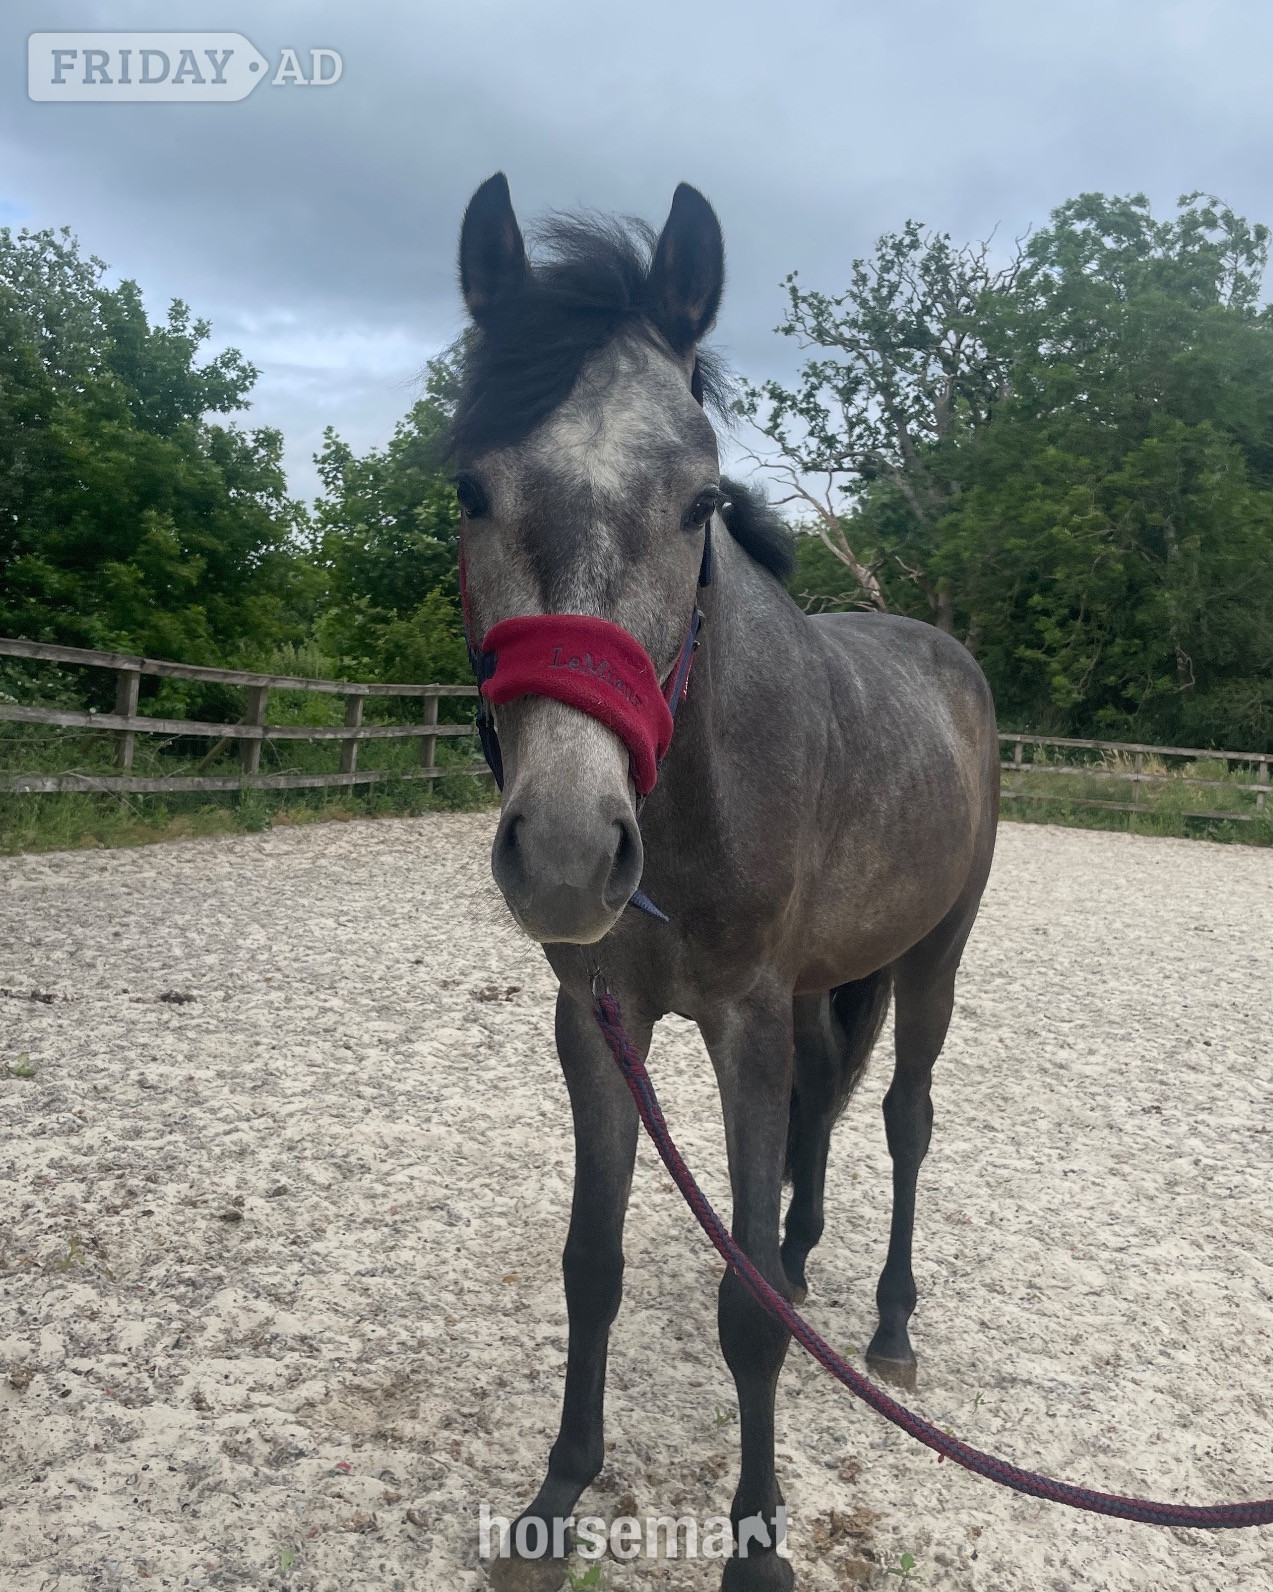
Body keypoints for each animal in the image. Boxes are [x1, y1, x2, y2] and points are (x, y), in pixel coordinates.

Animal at [450, 173, 1000, 1591]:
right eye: (469, 486)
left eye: (701, 500)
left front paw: (757, 1544)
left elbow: (738, 1306)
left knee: (902, 1117)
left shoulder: (743, 1019)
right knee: (822, 1106)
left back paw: (888, 1324)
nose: (570, 850)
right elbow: (592, 1260)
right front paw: (557, 1493)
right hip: (824, 985)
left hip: (933, 959)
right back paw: (807, 1262)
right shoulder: (600, 1019)